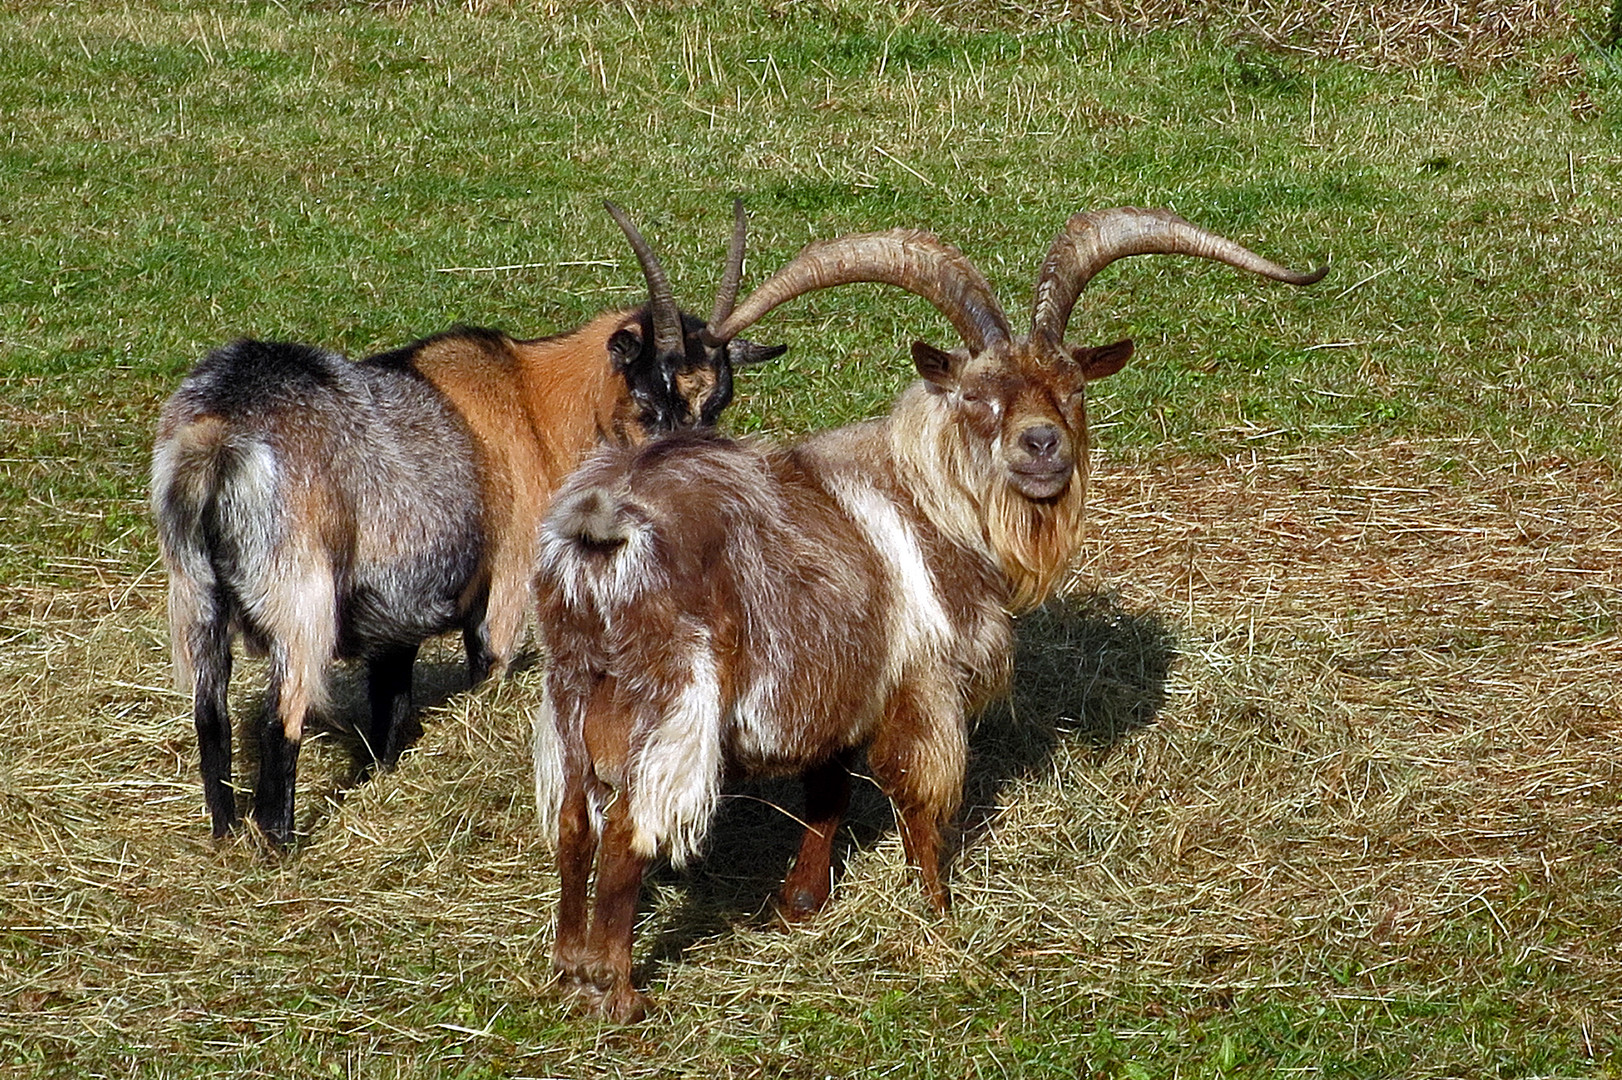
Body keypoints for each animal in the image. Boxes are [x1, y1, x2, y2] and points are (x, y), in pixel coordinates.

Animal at [152, 201, 785, 843]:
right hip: (298, 595)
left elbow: (390, 703)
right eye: (653, 399)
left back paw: (225, 833)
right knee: (281, 719)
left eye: (716, 404)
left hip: (194, 592)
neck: (532, 403)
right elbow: (489, 665)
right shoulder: (506, 579)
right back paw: (277, 843)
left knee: (211, 714)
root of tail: (219, 435)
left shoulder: (397, 610)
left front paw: (381, 775)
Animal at [525, 204, 1323, 1018]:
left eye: (1071, 388)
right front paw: (938, 911)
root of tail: (602, 528)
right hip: (675, 702)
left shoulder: (843, 686)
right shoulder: (921, 679)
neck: (930, 496)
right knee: (630, 830)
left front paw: (800, 904)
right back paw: (617, 992)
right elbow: (917, 795)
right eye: (976, 396)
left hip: (572, 697)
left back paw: (568, 967)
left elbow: (828, 792)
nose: (1043, 446)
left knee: (573, 824)